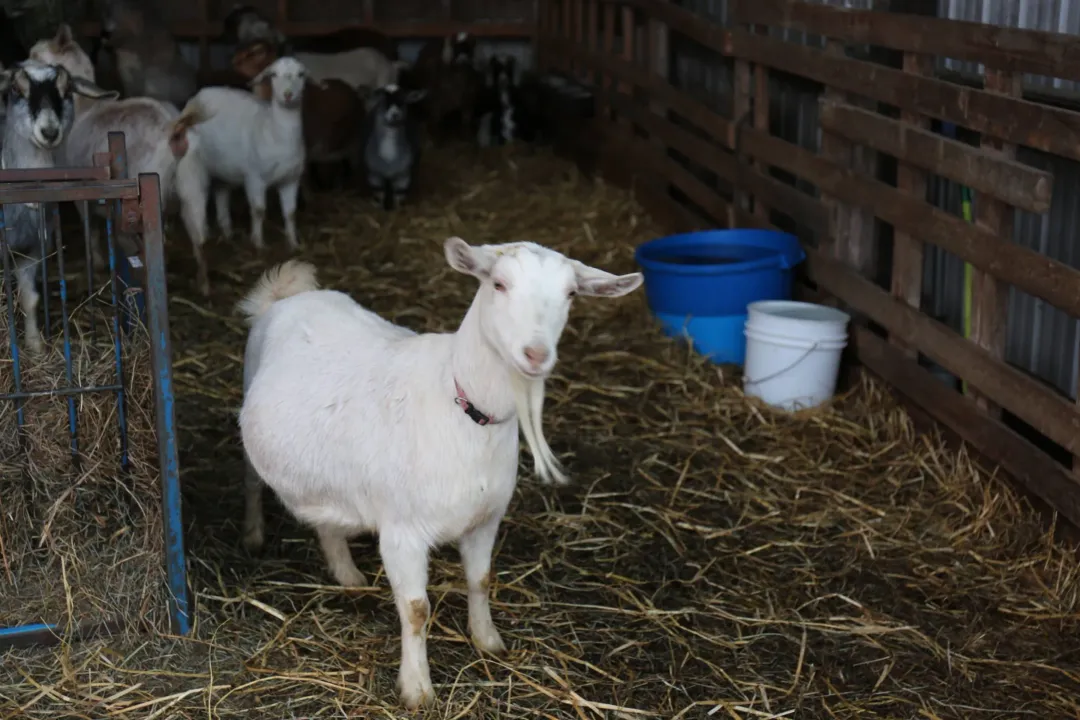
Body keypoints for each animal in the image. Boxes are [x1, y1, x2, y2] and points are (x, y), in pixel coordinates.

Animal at [0, 60, 117, 353]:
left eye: (67, 91)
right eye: (15, 89)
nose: (50, 132)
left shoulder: (32, 249)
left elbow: (30, 298)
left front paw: (35, 347)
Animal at [30, 24, 208, 272]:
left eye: (36, 56)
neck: (84, 108)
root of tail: (173, 128)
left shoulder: (80, 193)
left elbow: (91, 230)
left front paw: (97, 261)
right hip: (193, 184)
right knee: (198, 238)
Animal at [174, 57, 310, 296]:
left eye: (301, 74)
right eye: (274, 75)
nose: (287, 95)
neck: (274, 129)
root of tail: (199, 95)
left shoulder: (291, 179)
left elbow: (291, 213)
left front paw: (293, 243)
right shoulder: (255, 178)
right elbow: (258, 210)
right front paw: (258, 243)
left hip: (223, 170)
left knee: (221, 196)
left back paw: (227, 234)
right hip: (193, 169)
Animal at [237, 239, 643, 709]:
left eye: (571, 294)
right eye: (499, 284)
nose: (536, 355)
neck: (463, 404)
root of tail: (287, 296)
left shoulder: (487, 518)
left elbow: (481, 579)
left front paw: (488, 641)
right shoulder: (402, 533)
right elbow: (416, 611)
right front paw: (417, 689)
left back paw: (347, 574)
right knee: (251, 481)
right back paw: (253, 535)